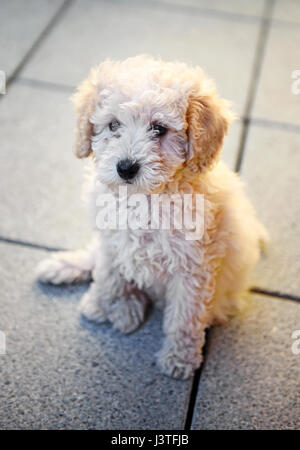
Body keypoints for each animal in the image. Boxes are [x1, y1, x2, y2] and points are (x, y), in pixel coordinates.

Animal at [35, 56, 268, 380]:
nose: (125, 167)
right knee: (95, 261)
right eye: (113, 125)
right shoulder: (112, 240)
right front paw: (110, 306)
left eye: (159, 129)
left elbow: (184, 317)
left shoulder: (193, 267)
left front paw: (179, 359)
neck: (145, 198)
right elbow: (109, 276)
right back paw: (74, 277)